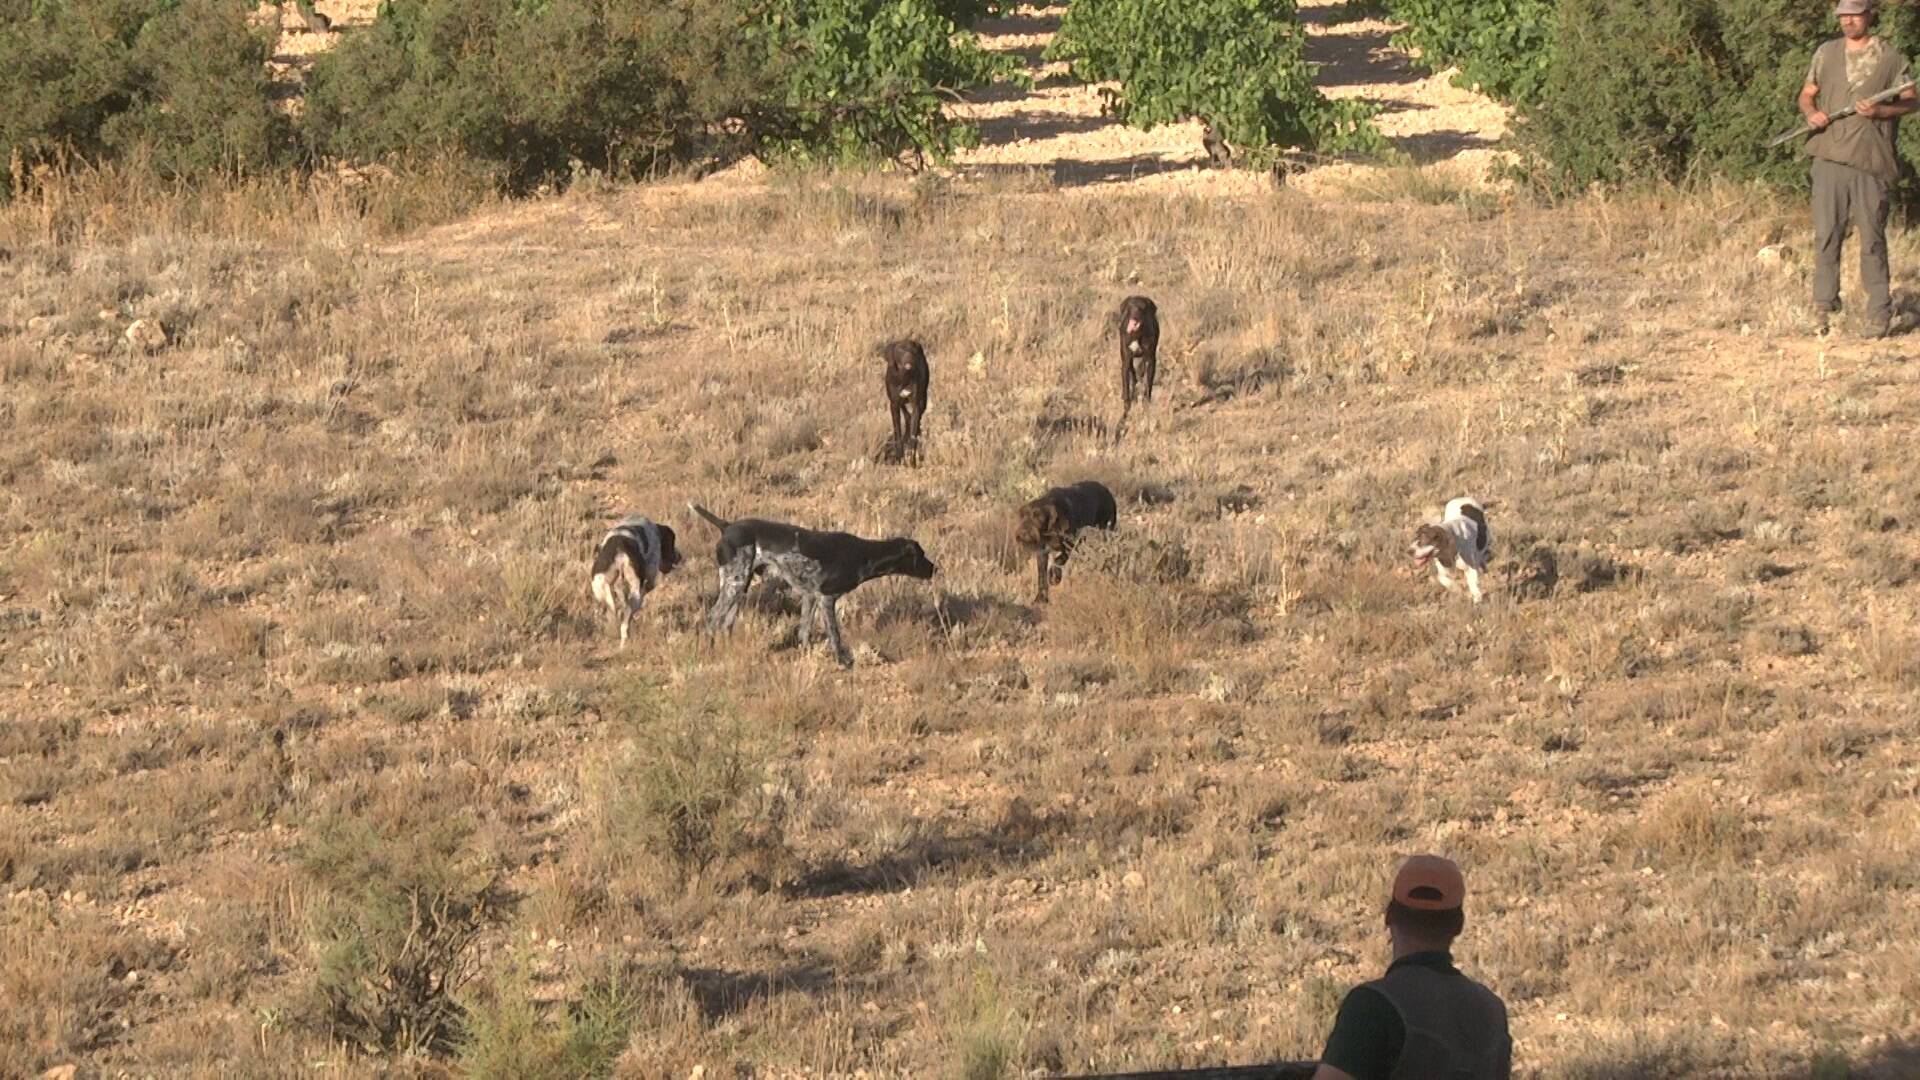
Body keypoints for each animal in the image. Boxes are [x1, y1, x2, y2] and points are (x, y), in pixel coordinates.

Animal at [591, 511, 683, 641]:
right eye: (673, 542)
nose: (679, 556)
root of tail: (620, 552)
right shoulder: (650, 579)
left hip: (599, 589)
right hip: (636, 595)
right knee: (624, 626)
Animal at [691, 503, 936, 664]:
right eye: (922, 555)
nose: (935, 568)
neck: (863, 553)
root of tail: (727, 526)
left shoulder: (810, 596)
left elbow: (804, 632)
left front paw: (806, 655)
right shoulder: (827, 598)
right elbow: (835, 635)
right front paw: (842, 662)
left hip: (740, 586)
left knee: (726, 623)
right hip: (734, 584)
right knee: (713, 618)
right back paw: (709, 652)